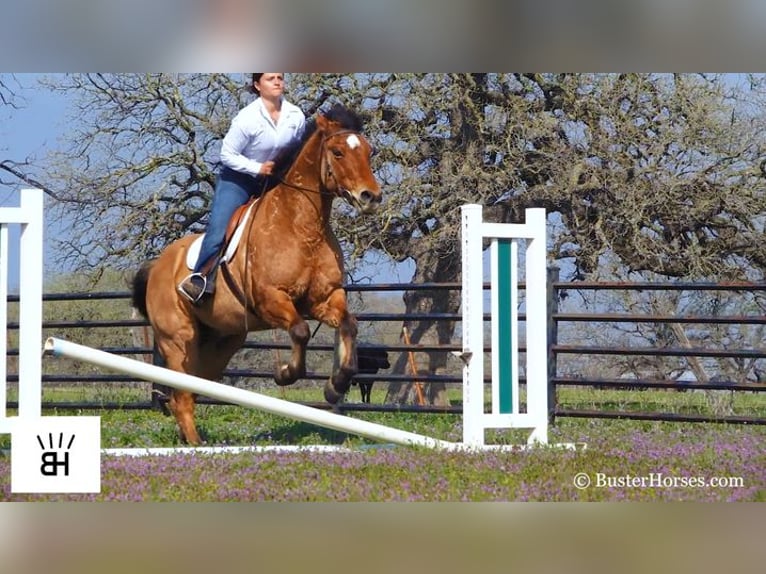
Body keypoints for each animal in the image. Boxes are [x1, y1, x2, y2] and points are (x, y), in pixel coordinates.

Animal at [134, 104, 384, 446]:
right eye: (337, 152)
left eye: (369, 152)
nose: (371, 197)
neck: (303, 227)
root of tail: (157, 266)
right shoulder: (270, 299)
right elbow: (301, 332)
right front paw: (285, 373)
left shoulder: (324, 299)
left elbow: (349, 325)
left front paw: (335, 386)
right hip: (179, 340)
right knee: (183, 395)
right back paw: (196, 447)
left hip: (222, 341)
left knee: (189, 391)